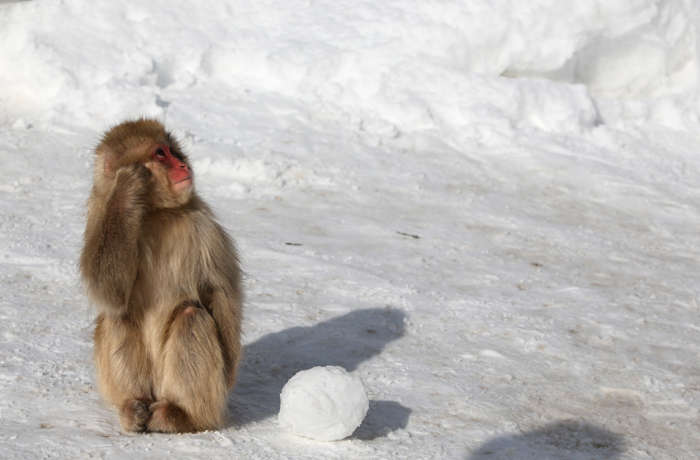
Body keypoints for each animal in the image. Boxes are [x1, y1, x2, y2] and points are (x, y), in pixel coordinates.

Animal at [78, 117, 243, 434]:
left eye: (172, 150)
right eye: (160, 154)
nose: (182, 164)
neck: (155, 213)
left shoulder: (203, 225)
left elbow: (219, 289)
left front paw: (229, 374)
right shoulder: (99, 213)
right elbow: (107, 291)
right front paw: (127, 189)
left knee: (191, 316)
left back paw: (182, 415)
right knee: (118, 315)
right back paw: (133, 404)